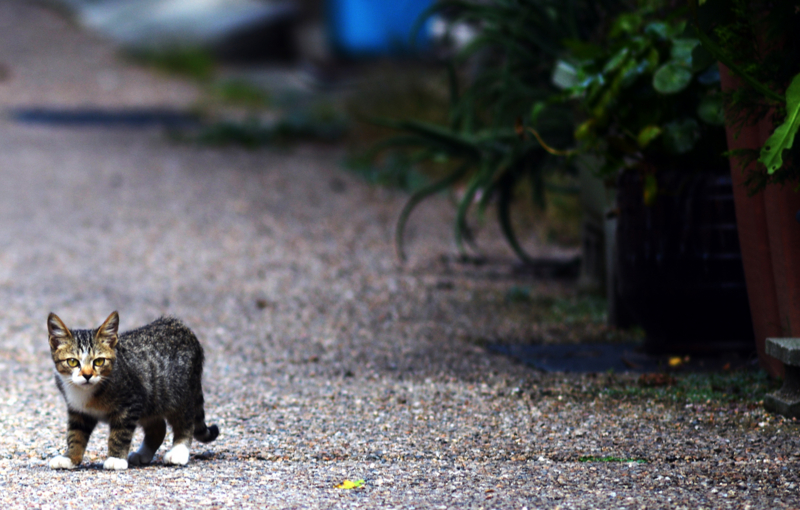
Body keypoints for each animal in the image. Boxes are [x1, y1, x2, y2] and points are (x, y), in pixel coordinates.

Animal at [48, 310, 217, 470]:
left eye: (99, 361)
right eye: (72, 362)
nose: (87, 375)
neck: (85, 392)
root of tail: (181, 326)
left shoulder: (131, 402)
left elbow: (120, 434)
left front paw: (116, 458)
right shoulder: (78, 411)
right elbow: (76, 434)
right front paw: (70, 457)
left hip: (179, 392)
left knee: (186, 421)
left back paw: (179, 451)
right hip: (153, 399)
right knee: (158, 428)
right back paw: (143, 454)